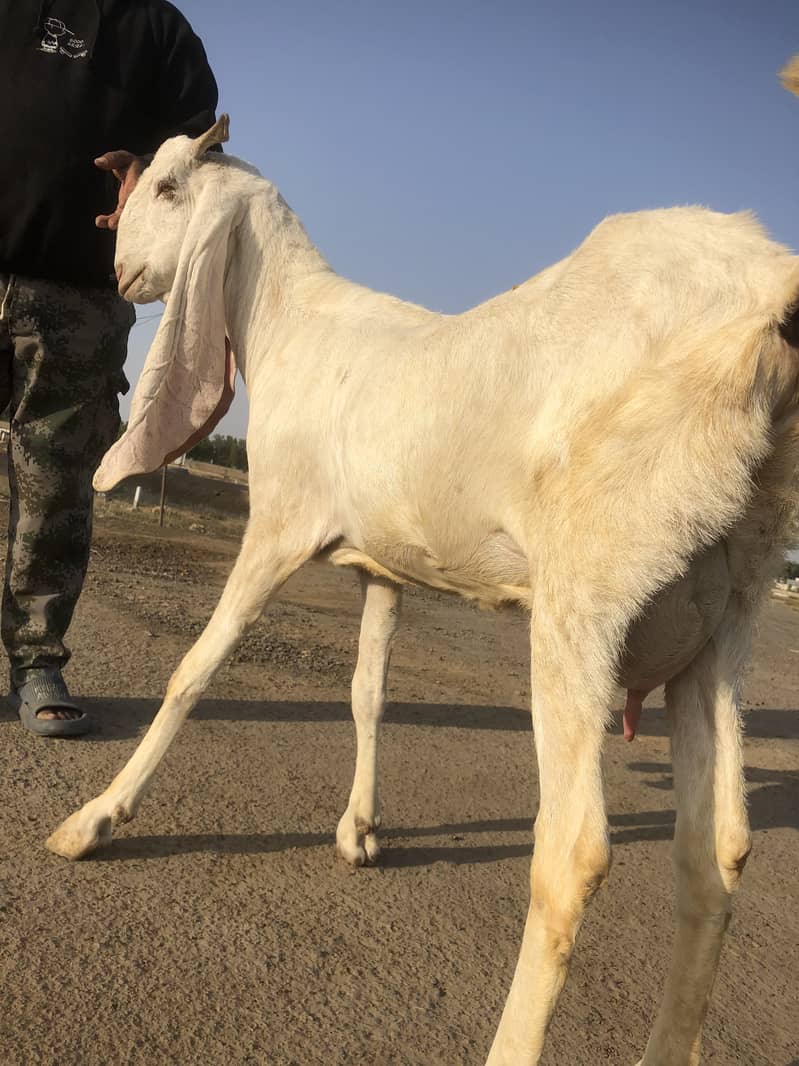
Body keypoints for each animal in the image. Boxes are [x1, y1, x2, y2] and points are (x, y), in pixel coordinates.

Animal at [48, 64, 799, 1057]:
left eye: (169, 187)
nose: (124, 274)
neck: (291, 324)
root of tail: (769, 287)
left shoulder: (277, 525)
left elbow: (195, 670)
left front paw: (95, 819)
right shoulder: (383, 565)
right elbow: (368, 692)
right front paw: (358, 830)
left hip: (585, 598)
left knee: (574, 851)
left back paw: (510, 1044)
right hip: (724, 617)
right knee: (716, 849)